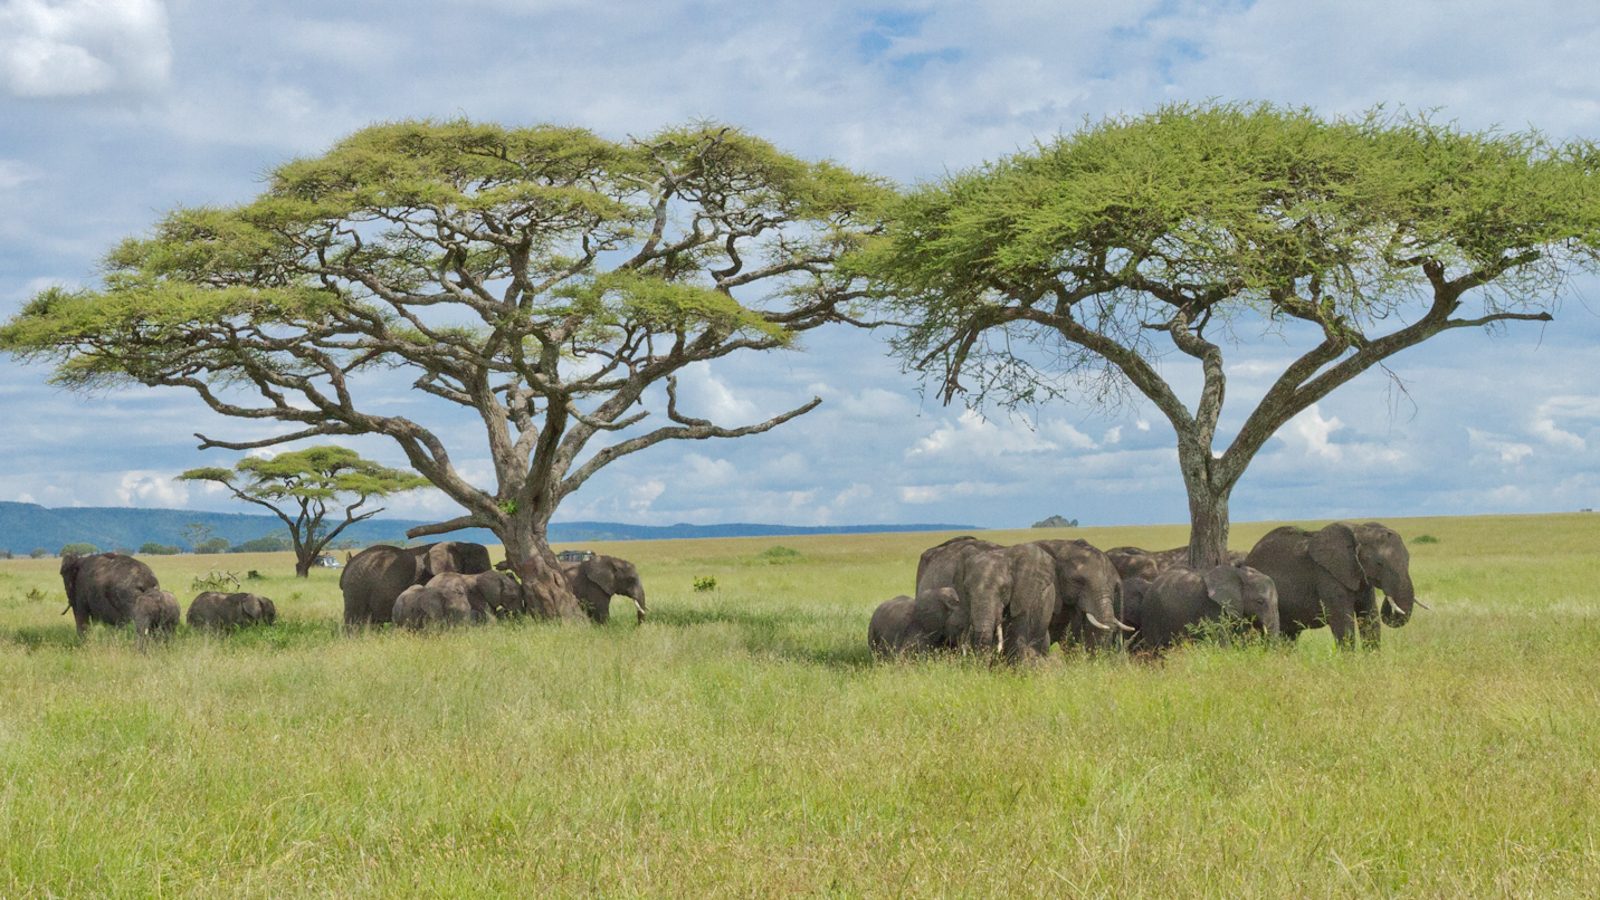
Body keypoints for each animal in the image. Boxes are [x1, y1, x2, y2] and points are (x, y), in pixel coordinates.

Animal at [1241, 522, 1420, 646]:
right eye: (1379, 564)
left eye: (1408, 559)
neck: (1359, 530)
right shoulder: (1327, 576)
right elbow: (1343, 623)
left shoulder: (1362, 579)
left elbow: (1370, 619)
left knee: (1289, 635)